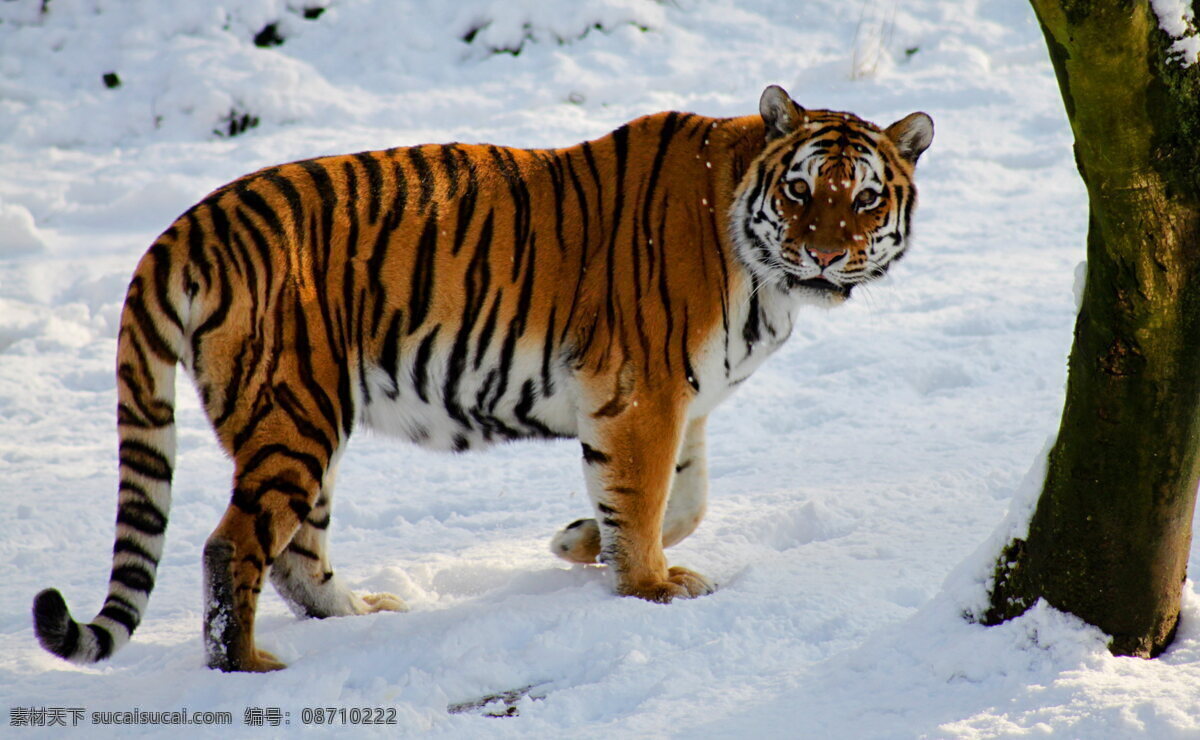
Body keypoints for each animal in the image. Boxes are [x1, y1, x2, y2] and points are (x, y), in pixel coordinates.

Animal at [31, 85, 932, 672]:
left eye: (863, 199)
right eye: (801, 189)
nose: (824, 253)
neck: (760, 267)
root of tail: (187, 225)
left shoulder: (687, 403)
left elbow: (686, 501)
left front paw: (578, 542)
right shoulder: (644, 394)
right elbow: (644, 500)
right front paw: (648, 588)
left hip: (304, 424)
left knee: (296, 553)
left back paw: (358, 614)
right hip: (295, 414)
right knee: (233, 546)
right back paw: (248, 665)